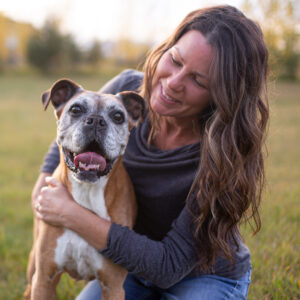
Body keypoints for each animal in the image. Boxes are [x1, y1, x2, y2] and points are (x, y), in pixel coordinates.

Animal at [23, 79, 145, 300]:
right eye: (76, 109)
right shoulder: (45, 279)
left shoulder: (113, 286)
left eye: (118, 116)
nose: (96, 121)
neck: (87, 194)